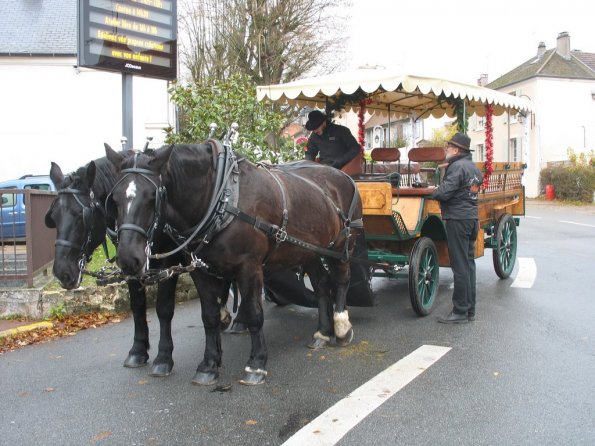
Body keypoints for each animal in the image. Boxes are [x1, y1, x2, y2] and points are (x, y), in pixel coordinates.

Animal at [45, 159, 235, 378]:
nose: (62, 272)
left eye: (80, 215)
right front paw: (138, 350)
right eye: (53, 217)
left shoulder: (168, 264)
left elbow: (164, 309)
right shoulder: (131, 266)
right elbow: (136, 306)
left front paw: (163, 357)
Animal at [104, 144, 360, 386]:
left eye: (152, 196)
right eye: (114, 199)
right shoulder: (200, 270)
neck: (222, 197)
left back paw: (341, 327)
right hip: (311, 252)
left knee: (342, 280)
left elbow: (255, 314)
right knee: (321, 286)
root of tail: (342, 176)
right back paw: (322, 333)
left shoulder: (250, 267)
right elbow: (209, 316)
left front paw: (256, 363)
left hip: (342, 246)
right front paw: (208, 365)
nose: (128, 258)